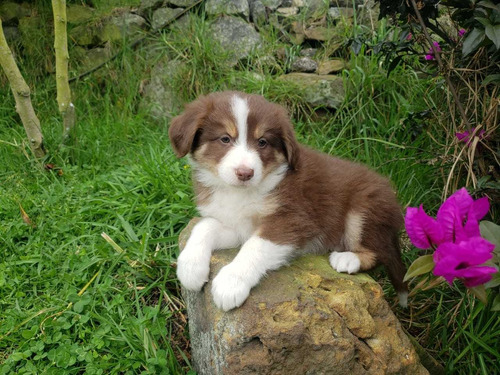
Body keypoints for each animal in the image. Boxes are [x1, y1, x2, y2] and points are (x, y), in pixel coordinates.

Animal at [170, 91, 408, 312]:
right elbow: (204, 226)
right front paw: (190, 267)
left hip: (364, 209)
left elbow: (254, 246)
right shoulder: (236, 224)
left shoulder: (293, 219)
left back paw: (348, 259)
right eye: (225, 139)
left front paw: (231, 283)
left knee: (380, 253)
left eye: (262, 142)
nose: (245, 173)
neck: (239, 192)